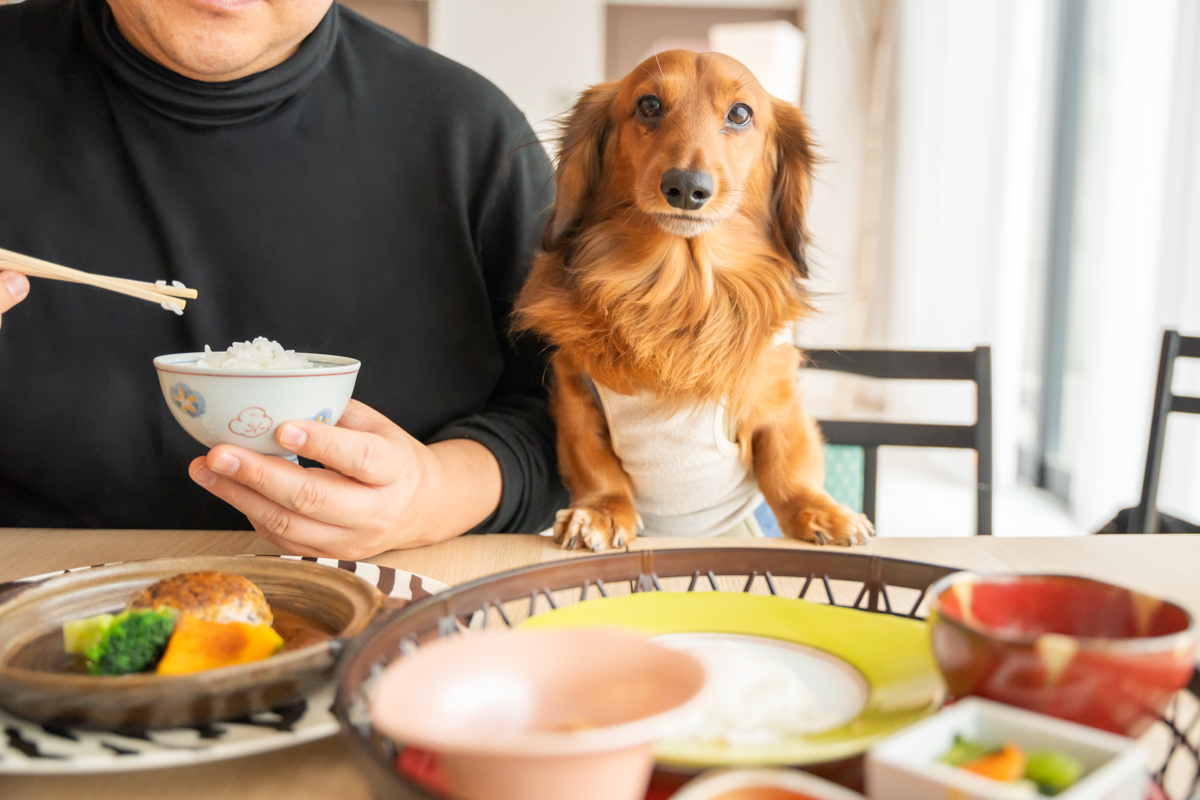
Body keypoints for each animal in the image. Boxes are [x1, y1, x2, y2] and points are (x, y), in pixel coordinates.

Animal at [516, 50, 873, 551]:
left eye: (740, 114)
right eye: (648, 105)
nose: (686, 188)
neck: (681, 291)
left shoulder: (775, 396)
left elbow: (789, 465)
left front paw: (819, 512)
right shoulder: (576, 394)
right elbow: (595, 467)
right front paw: (603, 512)